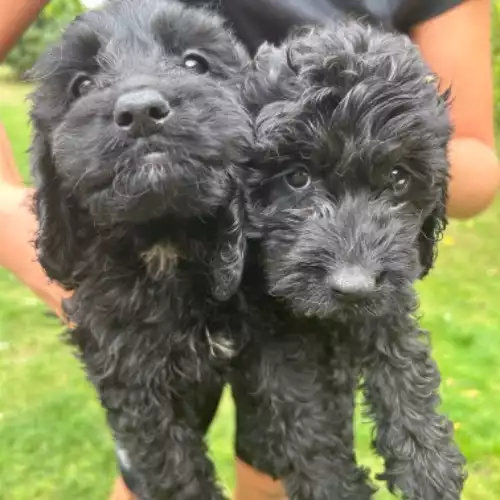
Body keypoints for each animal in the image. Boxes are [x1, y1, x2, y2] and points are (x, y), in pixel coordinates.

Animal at [29, 1, 252, 498]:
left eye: (194, 63)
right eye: (82, 85)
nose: (141, 111)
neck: (161, 241)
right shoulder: (129, 376)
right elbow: (171, 464)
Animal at [234, 20, 464, 500]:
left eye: (398, 177)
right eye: (297, 177)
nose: (352, 288)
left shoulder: (390, 290)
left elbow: (405, 360)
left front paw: (428, 463)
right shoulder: (270, 325)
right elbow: (300, 409)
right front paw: (333, 484)